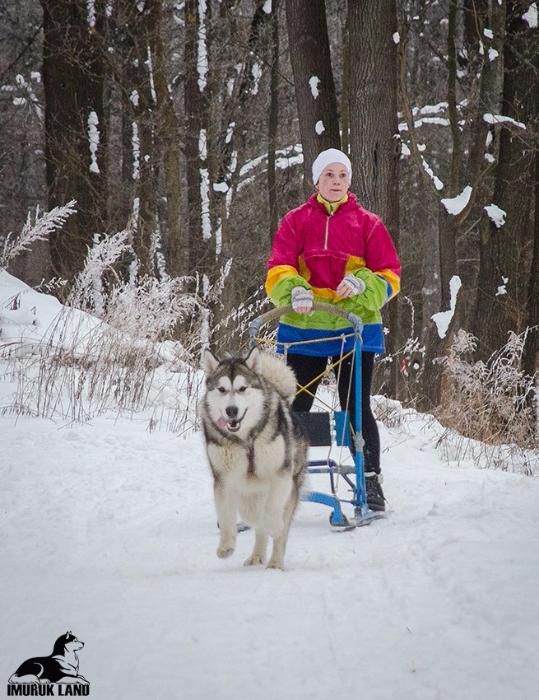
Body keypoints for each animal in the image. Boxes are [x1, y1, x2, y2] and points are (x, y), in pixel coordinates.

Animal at [200, 348, 308, 572]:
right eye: (222, 389)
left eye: (242, 388)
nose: (231, 410)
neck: (246, 439)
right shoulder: (224, 480)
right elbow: (227, 515)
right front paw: (226, 546)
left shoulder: (280, 475)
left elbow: (273, 514)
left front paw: (274, 526)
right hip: (248, 494)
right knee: (254, 518)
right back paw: (257, 556)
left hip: (291, 486)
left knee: (280, 530)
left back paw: (275, 562)